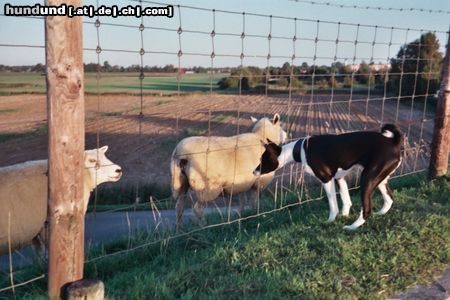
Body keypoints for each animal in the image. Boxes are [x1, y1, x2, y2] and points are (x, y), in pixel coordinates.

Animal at [253, 124, 404, 230]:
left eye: (262, 160)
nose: (253, 172)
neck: (300, 149)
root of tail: (393, 142)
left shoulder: (326, 179)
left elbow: (333, 205)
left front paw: (330, 221)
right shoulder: (339, 178)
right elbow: (346, 199)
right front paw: (343, 216)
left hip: (367, 179)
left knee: (367, 209)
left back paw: (352, 227)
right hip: (379, 179)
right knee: (389, 198)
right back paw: (380, 214)